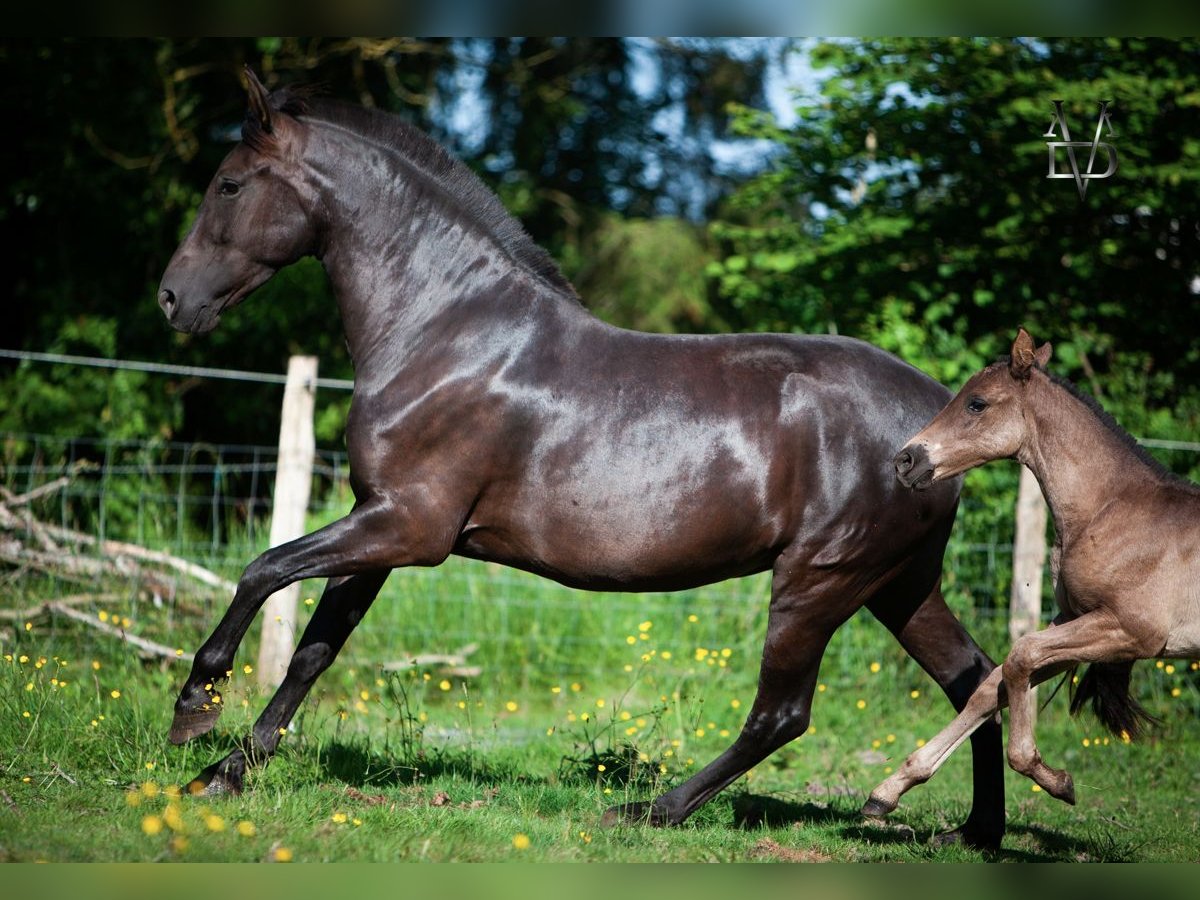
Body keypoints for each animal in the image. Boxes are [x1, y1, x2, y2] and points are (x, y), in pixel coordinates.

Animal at [157, 70, 1003, 854]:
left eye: (229, 184)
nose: (170, 299)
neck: (444, 333)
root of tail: (937, 416)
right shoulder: (382, 528)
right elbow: (313, 651)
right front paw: (227, 773)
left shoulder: (409, 528)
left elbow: (262, 569)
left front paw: (194, 710)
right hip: (897, 583)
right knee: (979, 677)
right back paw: (977, 834)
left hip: (820, 580)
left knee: (783, 714)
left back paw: (648, 811)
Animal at [864, 328, 1200, 820]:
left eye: (977, 404)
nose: (905, 461)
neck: (1111, 511)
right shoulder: (1076, 618)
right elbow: (992, 685)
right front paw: (887, 791)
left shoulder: (1134, 630)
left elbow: (1021, 655)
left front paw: (1054, 778)